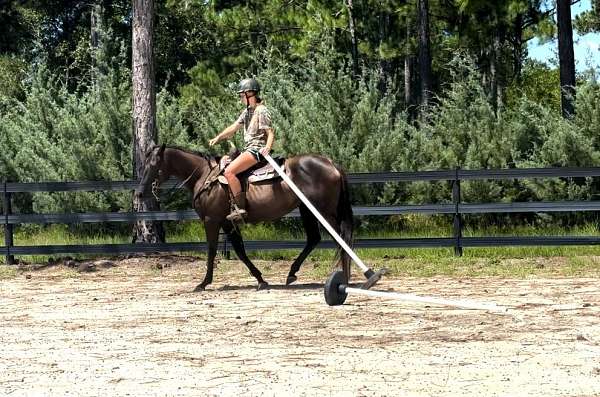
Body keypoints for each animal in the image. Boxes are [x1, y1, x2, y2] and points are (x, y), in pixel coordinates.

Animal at [134, 144, 354, 290]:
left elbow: (212, 250)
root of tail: (331, 164)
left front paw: (204, 283)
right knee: (314, 239)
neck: (205, 177)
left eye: (154, 164)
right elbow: (239, 250)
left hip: (324, 212)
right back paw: (292, 273)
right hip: (307, 210)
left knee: (340, 239)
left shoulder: (212, 220)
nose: (140, 192)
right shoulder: (227, 222)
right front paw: (260, 279)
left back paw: (344, 277)